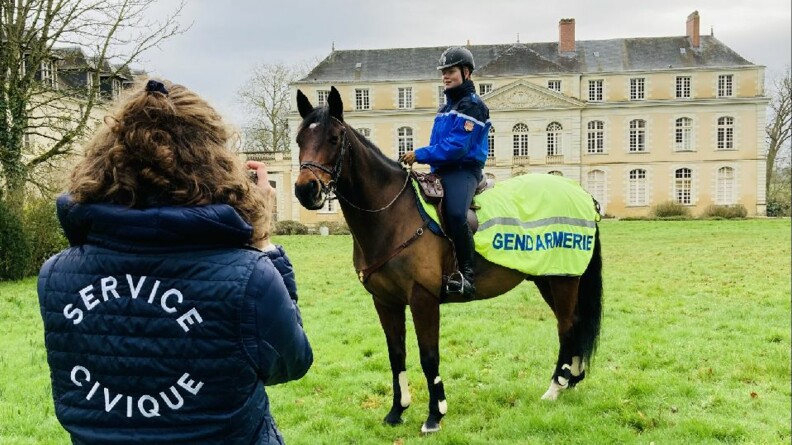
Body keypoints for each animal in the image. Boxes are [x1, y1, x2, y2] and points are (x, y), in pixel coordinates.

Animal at [293, 86, 603, 434]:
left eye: (334, 138)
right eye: (299, 139)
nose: (306, 189)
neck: (392, 214)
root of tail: (582, 194)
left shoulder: (422, 298)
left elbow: (429, 356)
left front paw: (435, 414)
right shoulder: (385, 301)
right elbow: (396, 354)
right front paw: (397, 410)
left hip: (563, 280)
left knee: (567, 326)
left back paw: (554, 387)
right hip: (546, 279)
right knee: (575, 323)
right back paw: (571, 380)